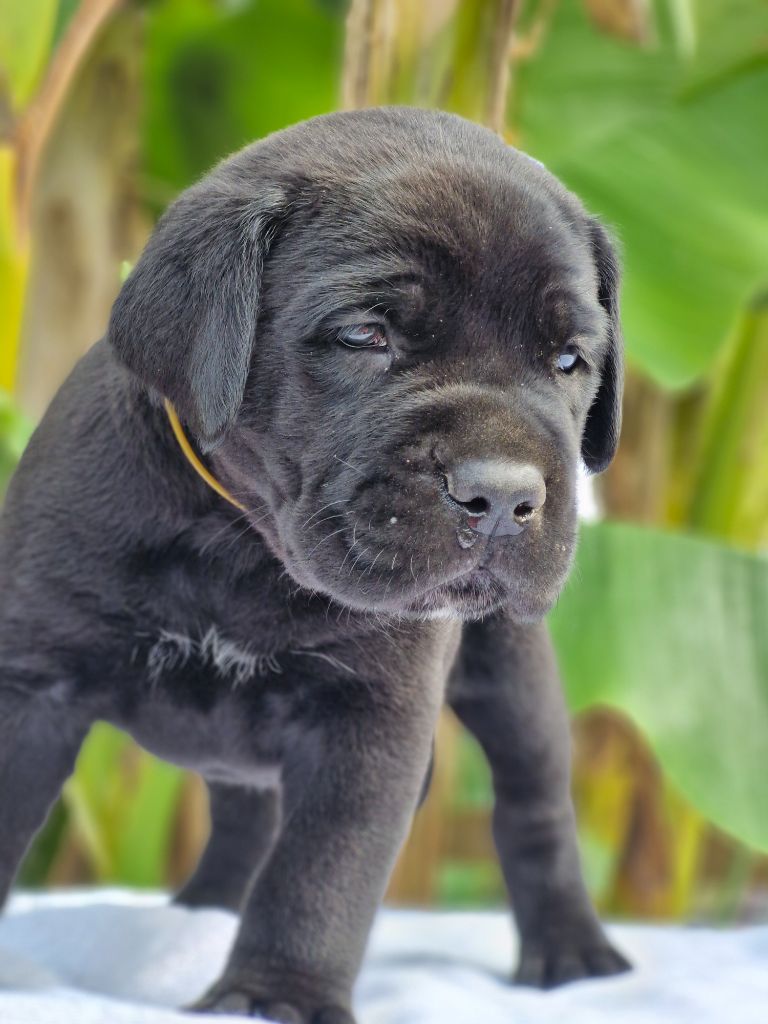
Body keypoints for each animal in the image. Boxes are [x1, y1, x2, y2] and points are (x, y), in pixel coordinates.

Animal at [0, 108, 628, 1021]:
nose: (503, 495)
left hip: (514, 673)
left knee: (534, 804)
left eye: (570, 361)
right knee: (247, 817)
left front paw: (275, 997)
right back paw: (203, 913)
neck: (239, 541)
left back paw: (573, 950)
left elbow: (321, 871)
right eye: (366, 336)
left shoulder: (369, 715)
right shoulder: (32, 685)